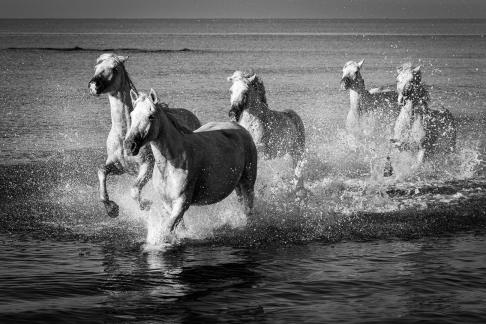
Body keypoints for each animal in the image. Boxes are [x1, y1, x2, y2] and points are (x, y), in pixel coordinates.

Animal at [88, 53, 200, 218]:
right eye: (96, 67)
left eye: (114, 68)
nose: (93, 85)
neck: (124, 133)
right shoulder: (120, 166)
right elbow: (101, 170)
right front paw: (111, 208)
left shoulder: (147, 166)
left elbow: (135, 190)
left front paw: (146, 204)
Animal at [124, 90, 258, 237]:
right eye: (132, 115)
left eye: (151, 116)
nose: (129, 145)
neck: (170, 164)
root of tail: (241, 129)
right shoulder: (167, 202)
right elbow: (178, 226)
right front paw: (146, 204)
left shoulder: (182, 202)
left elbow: (167, 228)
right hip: (237, 184)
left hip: (248, 182)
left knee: (249, 206)